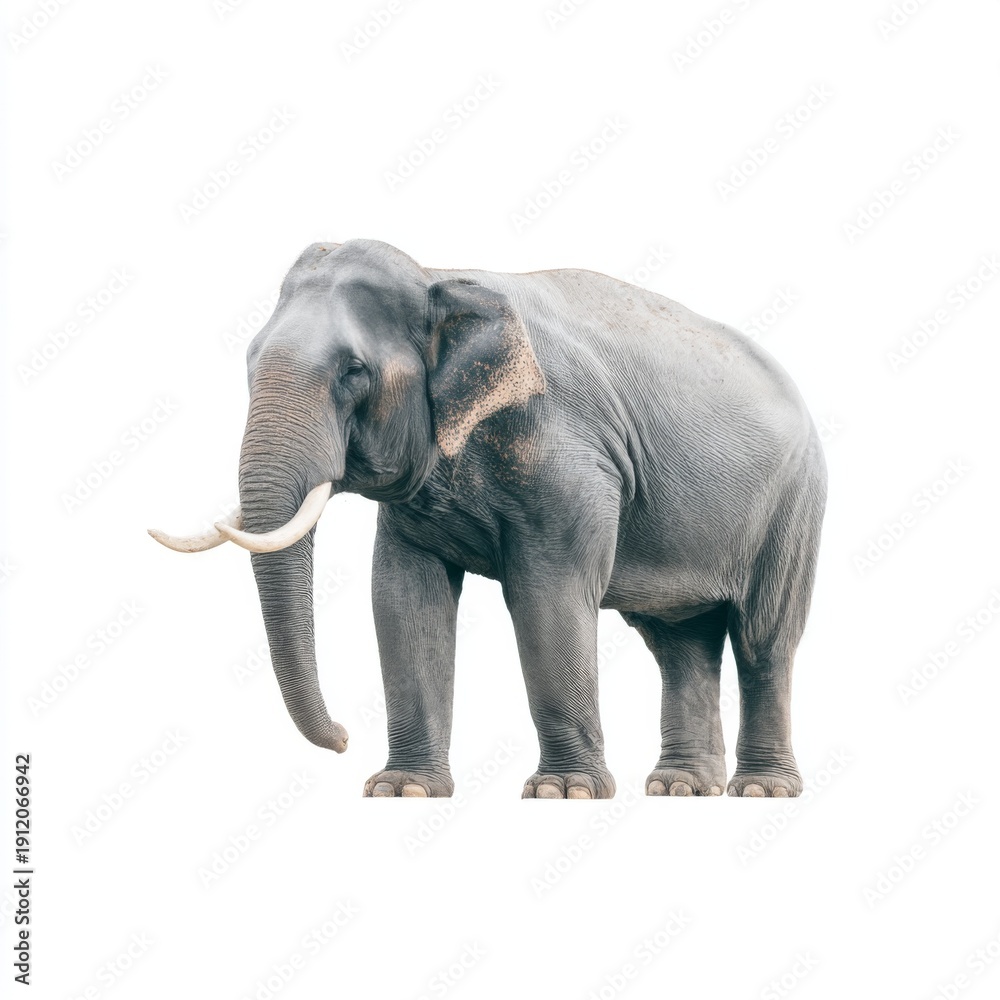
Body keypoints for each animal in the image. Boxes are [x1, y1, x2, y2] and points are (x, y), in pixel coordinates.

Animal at [150, 239, 826, 799]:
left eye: (354, 371)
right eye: (249, 360)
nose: (342, 737)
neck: (437, 276)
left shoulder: (567, 454)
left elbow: (548, 592)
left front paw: (562, 793)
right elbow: (402, 597)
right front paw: (402, 791)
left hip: (794, 507)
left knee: (764, 637)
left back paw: (759, 791)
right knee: (679, 642)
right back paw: (680, 788)